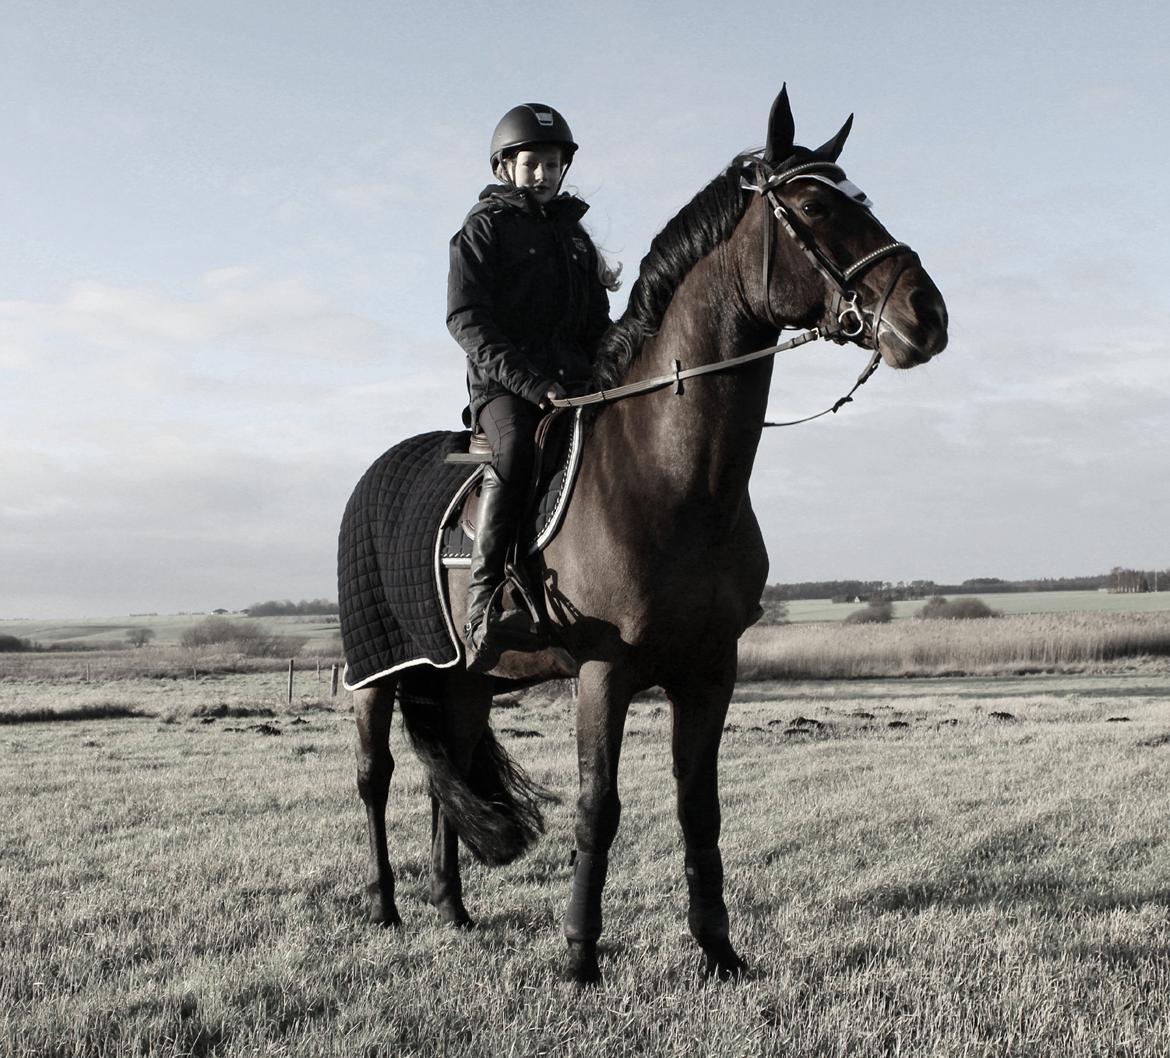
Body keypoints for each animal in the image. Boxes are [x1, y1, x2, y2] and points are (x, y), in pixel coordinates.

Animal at [339, 85, 948, 986]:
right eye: (812, 206)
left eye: (861, 199)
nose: (926, 315)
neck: (673, 479)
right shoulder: (605, 670)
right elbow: (600, 809)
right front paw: (579, 957)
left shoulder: (709, 669)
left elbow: (701, 808)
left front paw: (719, 950)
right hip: (378, 674)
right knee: (376, 778)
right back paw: (385, 907)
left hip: (465, 680)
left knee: (444, 774)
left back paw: (453, 911)